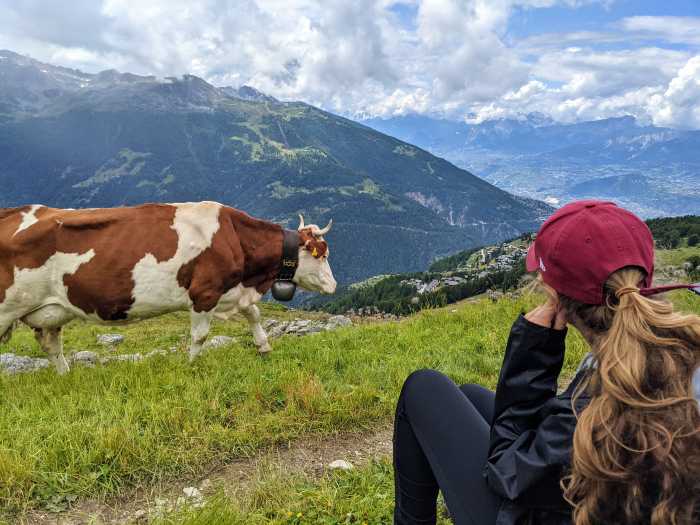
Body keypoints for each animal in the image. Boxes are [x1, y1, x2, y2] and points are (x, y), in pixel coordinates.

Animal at [0, 202, 336, 374]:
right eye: (323, 253)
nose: (334, 285)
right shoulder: (204, 293)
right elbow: (200, 336)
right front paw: (191, 366)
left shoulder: (232, 291)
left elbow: (253, 314)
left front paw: (264, 346)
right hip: (6, 308)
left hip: (50, 310)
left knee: (50, 344)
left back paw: (66, 375)